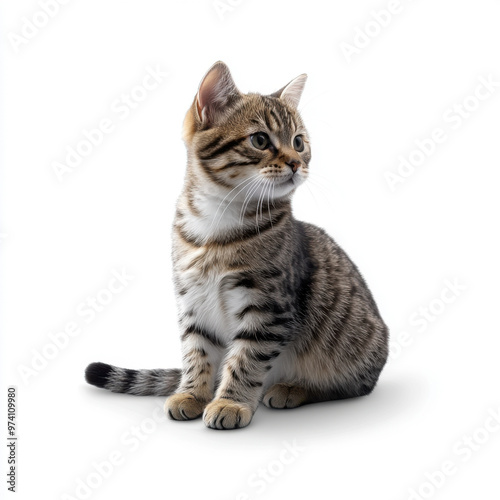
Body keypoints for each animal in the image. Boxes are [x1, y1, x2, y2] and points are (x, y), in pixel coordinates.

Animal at [86, 61, 388, 430]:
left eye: (299, 142)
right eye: (260, 140)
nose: (296, 162)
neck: (217, 223)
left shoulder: (267, 309)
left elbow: (246, 360)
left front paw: (230, 402)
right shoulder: (193, 301)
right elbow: (197, 353)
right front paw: (193, 393)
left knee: (347, 386)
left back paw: (292, 388)